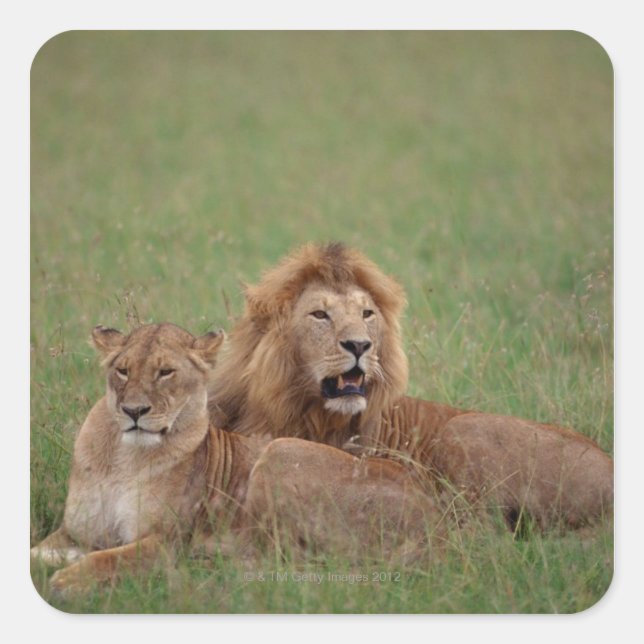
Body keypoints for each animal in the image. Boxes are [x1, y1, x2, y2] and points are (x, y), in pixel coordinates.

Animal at [31, 323, 439, 595]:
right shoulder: (72, 531)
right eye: (123, 370)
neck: (123, 456)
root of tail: (433, 518)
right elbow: (36, 553)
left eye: (166, 372)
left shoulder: (165, 541)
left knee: (288, 561)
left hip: (279, 453)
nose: (134, 411)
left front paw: (66, 581)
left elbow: (107, 558)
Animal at [208, 242, 613, 530]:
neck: (301, 410)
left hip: (463, 428)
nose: (359, 345)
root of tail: (609, 465)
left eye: (366, 314)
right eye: (320, 315)